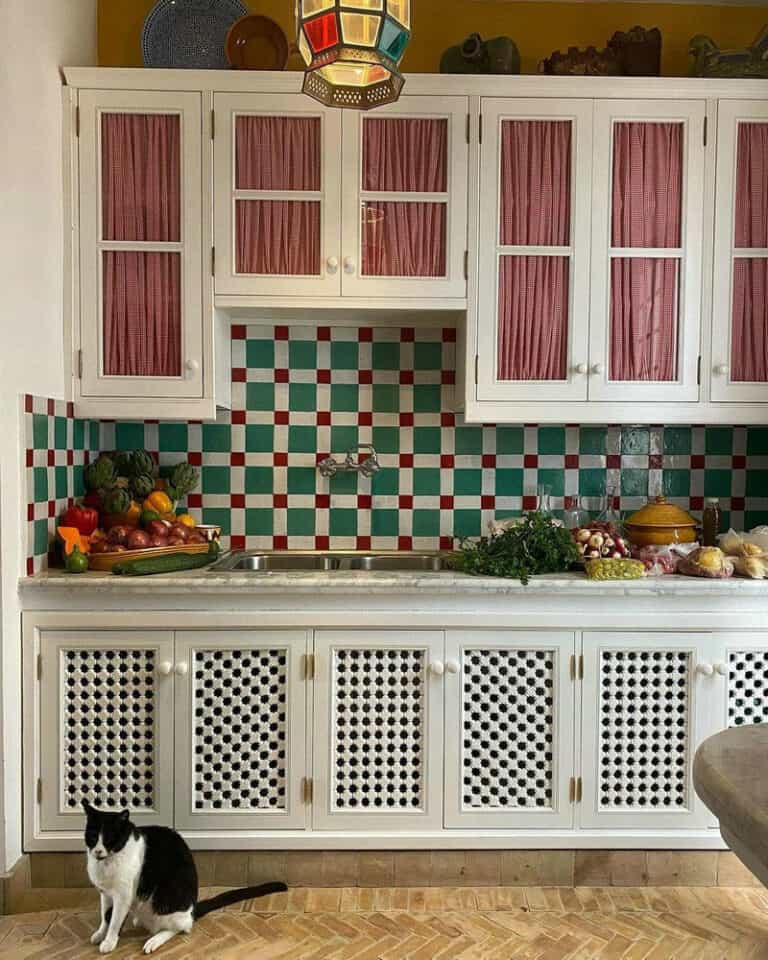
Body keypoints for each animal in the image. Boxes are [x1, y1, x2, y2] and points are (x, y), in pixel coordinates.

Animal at [83, 804, 288, 952]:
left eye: (109, 838)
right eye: (92, 836)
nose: (98, 851)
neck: (105, 864)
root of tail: (192, 907)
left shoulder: (123, 895)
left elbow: (115, 920)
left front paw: (109, 942)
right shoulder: (106, 894)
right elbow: (105, 916)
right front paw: (100, 934)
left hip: (166, 902)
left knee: (179, 927)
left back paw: (153, 941)